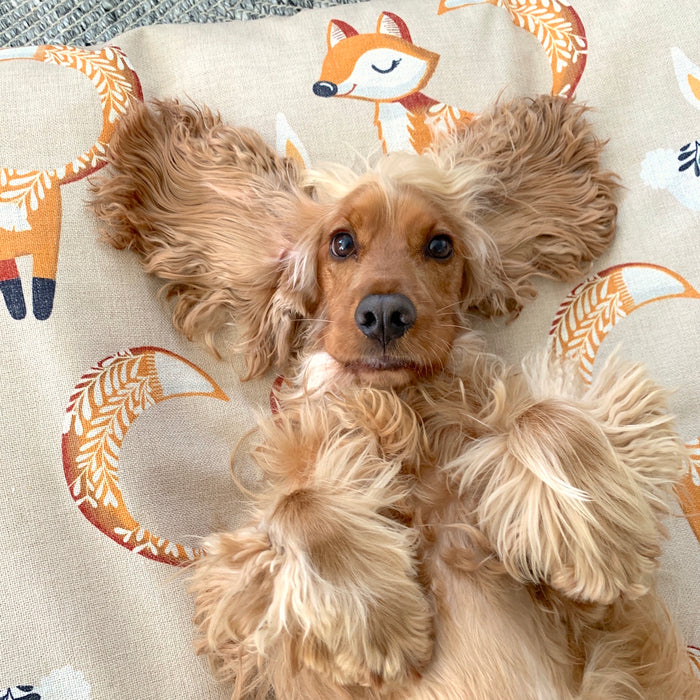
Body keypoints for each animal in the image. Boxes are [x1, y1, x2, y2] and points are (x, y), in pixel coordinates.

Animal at [93, 94, 700, 700]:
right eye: (341, 243)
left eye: (440, 245)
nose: (385, 312)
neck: (404, 414)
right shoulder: (240, 609)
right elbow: (297, 502)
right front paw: (378, 624)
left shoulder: (606, 620)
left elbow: (544, 416)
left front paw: (601, 546)